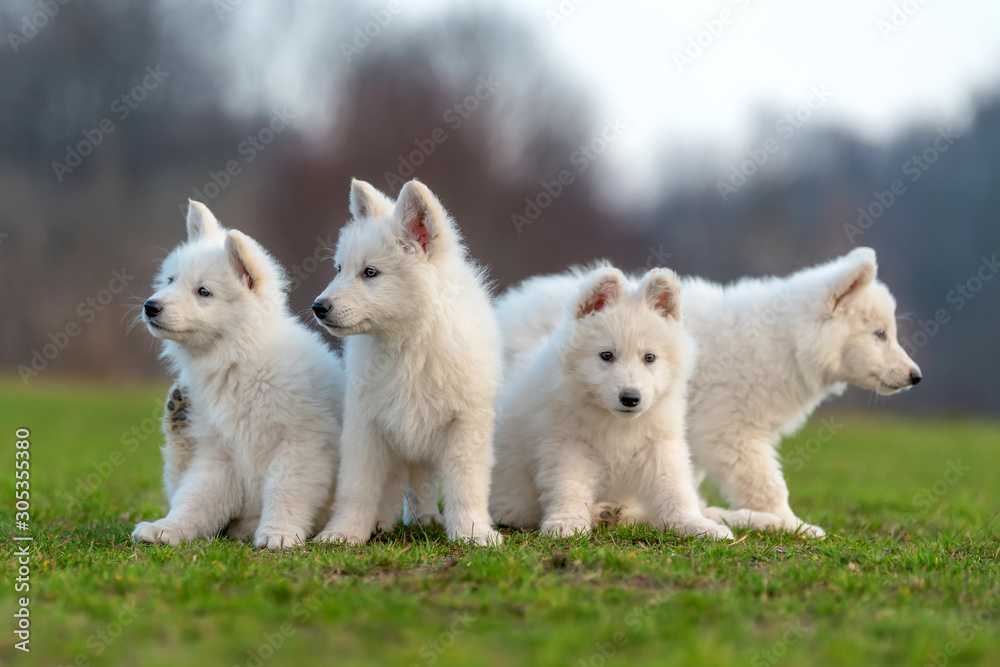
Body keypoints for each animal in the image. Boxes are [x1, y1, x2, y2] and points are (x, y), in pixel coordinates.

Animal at [133, 201, 344, 552]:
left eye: (203, 291)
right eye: (170, 279)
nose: (150, 306)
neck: (239, 360)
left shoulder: (301, 445)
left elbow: (286, 492)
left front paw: (279, 532)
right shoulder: (220, 454)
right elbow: (194, 498)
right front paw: (169, 529)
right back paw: (177, 415)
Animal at [310, 179, 500, 548]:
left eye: (370, 272)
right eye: (339, 269)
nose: (318, 307)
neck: (408, 344)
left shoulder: (465, 424)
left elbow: (466, 486)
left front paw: (472, 532)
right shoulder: (366, 424)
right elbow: (357, 487)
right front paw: (344, 532)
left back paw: (425, 518)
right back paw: (386, 522)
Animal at [492, 264, 736, 540]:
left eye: (649, 357)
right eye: (606, 355)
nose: (630, 398)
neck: (616, 422)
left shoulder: (658, 443)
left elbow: (675, 489)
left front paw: (694, 524)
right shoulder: (568, 445)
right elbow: (569, 486)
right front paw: (567, 522)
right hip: (514, 498)